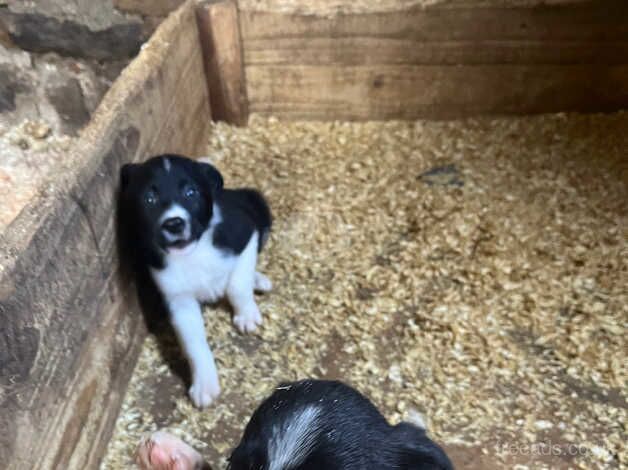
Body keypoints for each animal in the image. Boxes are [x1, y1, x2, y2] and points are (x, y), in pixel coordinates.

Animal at [120, 153, 272, 408]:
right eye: (150, 198)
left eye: (191, 192)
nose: (174, 224)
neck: (193, 253)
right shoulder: (178, 299)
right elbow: (193, 342)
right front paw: (204, 384)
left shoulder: (245, 233)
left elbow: (237, 285)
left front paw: (246, 315)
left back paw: (259, 281)